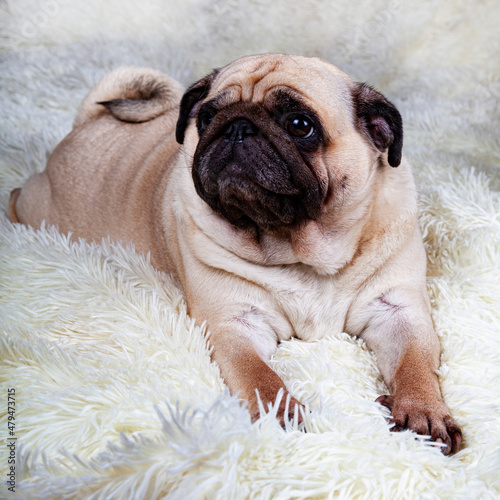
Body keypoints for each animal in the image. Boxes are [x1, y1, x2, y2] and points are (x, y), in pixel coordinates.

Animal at [8, 53, 460, 454]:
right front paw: (279, 415)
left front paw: (423, 412)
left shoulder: (398, 312)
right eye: (207, 118)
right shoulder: (233, 323)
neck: (300, 248)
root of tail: (88, 121)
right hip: (42, 210)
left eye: (301, 125)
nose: (237, 127)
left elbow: (416, 366)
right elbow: (260, 376)